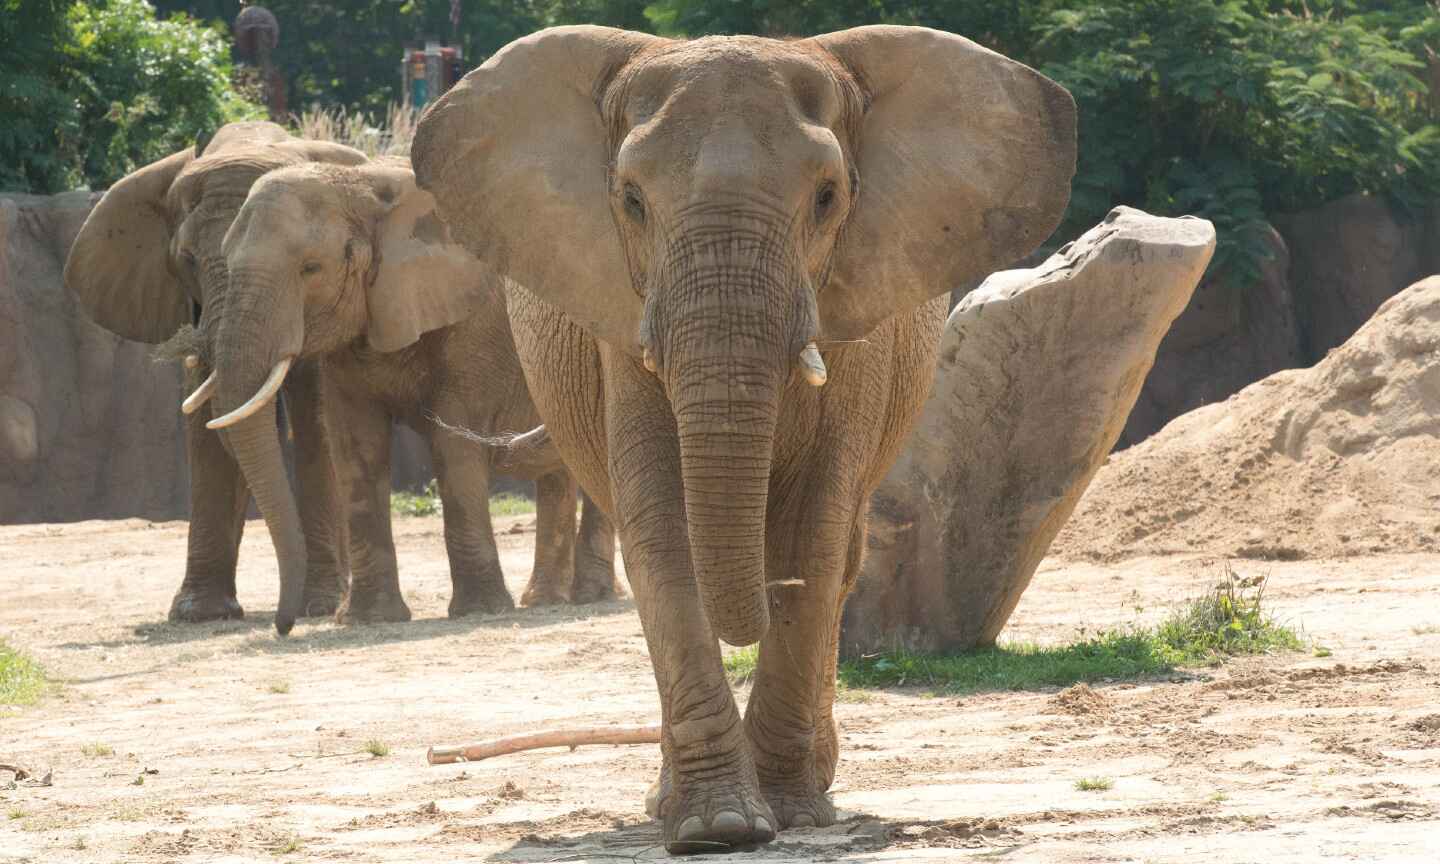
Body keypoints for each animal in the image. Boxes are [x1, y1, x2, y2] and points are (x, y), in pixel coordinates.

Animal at [64, 121, 368, 630]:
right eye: (187, 258)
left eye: (306, 267)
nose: (284, 622)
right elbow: (205, 422)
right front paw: (198, 614)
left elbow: (316, 420)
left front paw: (320, 605)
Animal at [411, 25, 1077, 852]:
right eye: (631, 201)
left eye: (827, 198)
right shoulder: (622, 323)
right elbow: (661, 530)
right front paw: (717, 827)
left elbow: (815, 531)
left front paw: (789, 814)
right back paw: (667, 802)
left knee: (844, 552)